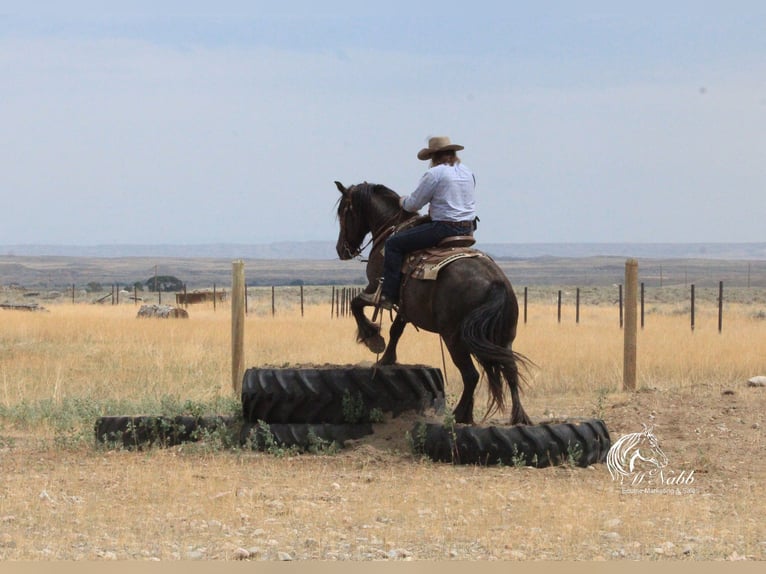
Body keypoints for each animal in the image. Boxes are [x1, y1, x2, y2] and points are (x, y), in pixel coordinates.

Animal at [336, 181, 536, 428]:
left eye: (344, 212)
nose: (341, 250)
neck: (390, 228)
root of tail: (496, 282)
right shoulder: (405, 305)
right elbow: (396, 330)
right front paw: (387, 358)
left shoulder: (376, 288)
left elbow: (356, 305)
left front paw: (373, 340)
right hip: (503, 336)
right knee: (510, 369)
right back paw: (518, 418)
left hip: (454, 337)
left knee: (471, 375)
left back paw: (461, 416)